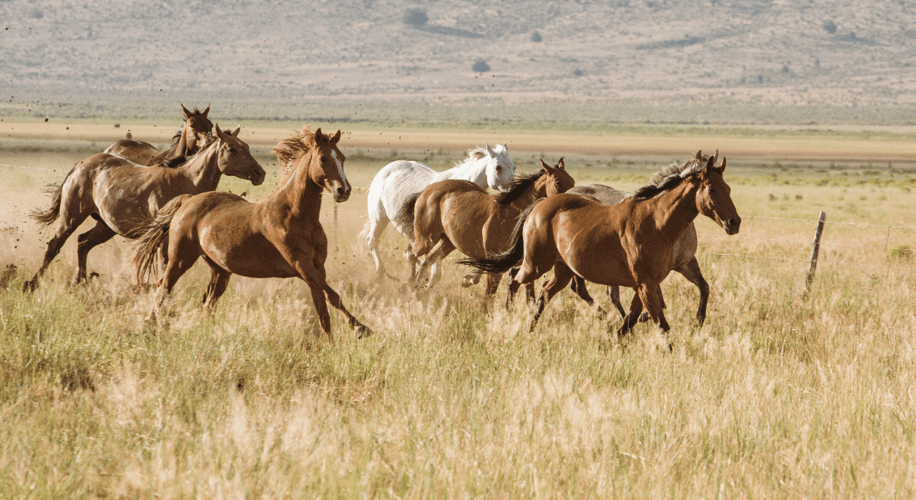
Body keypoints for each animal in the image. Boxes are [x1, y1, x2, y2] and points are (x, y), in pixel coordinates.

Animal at [25, 124, 266, 291]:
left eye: (246, 147)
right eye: (232, 149)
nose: (260, 173)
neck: (184, 180)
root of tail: (81, 164)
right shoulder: (164, 236)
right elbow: (164, 263)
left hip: (106, 226)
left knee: (83, 243)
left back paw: (80, 282)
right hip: (71, 216)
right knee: (55, 245)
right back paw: (33, 283)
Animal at [132, 127, 372, 340]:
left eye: (342, 158)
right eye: (323, 159)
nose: (344, 191)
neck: (297, 216)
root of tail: (188, 200)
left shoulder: (317, 268)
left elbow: (323, 309)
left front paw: (332, 345)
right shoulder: (301, 265)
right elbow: (333, 296)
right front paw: (361, 328)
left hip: (220, 270)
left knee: (208, 303)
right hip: (180, 259)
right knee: (163, 288)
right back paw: (150, 326)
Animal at [360, 144, 516, 279]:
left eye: (514, 167)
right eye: (498, 167)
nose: (514, 190)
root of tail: (385, 169)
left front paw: (470, 279)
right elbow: (435, 273)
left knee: (409, 253)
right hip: (379, 219)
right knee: (372, 240)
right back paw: (380, 273)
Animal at [398, 159, 575, 294]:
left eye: (572, 181)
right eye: (558, 182)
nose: (572, 199)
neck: (513, 215)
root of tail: (427, 190)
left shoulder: (524, 266)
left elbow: (528, 294)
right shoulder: (495, 266)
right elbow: (489, 295)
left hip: (447, 242)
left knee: (427, 260)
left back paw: (418, 290)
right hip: (426, 239)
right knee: (411, 254)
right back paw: (409, 287)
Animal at [566, 181, 709, 325]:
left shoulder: (685, 262)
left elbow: (704, 287)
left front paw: (699, 320)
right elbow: (659, 302)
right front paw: (640, 317)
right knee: (585, 289)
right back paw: (611, 316)